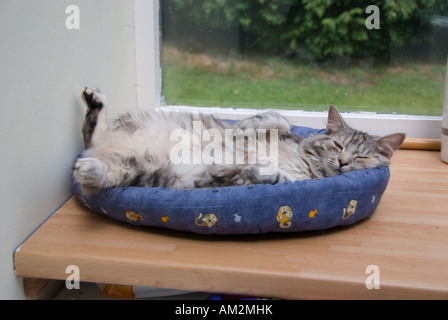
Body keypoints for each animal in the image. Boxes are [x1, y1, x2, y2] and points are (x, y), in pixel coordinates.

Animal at [74, 86, 406, 195]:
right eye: (338, 146)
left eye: (361, 157)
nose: (342, 161)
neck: (307, 165)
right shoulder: (285, 130)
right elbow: (276, 119)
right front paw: (240, 129)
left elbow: (268, 176)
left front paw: (260, 170)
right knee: (91, 134)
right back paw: (95, 102)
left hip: (145, 172)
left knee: (99, 167)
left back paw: (89, 169)